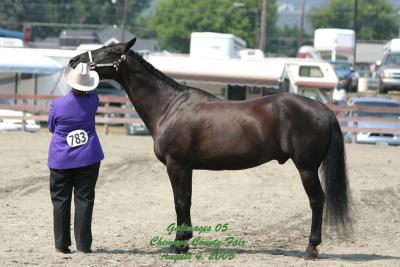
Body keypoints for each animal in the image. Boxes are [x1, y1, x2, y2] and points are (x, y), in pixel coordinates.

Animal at [69, 38, 350, 260]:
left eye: (109, 51)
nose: (74, 59)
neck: (170, 106)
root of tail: (323, 109)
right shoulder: (188, 168)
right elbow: (188, 200)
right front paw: (184, 242)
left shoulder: (177, 165)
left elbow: (179, 201)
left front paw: (177, 245)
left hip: (306, 168)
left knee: (317, 201)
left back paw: (311, 249)